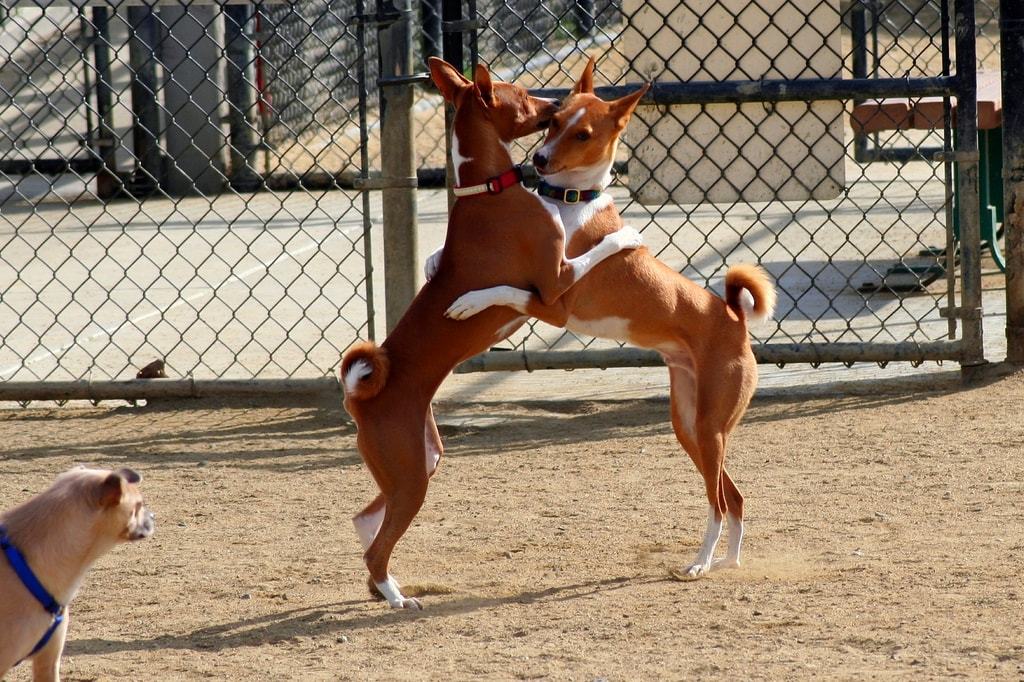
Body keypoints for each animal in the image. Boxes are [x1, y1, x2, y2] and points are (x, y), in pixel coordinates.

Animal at [339, 58, 643, 606]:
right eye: (523, 95)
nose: (552, 105)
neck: (486, 189)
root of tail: (359, 398)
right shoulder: (555, 284)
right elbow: (597, 250)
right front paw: (626, 234)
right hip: (412, 477)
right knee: (376, 544)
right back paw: (394, 596)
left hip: (422, 461)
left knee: (365, 520)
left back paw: (383, 586)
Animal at [448, 59, 774, 577]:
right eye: (555, 121)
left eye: (582, 134)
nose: (539, 160)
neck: (572, 201)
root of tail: (733, 317)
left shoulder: (553, 303)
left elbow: (503, 289)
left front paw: (467, 301)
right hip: (691, 427)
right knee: (735, 496)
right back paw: (729, 561)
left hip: (709, 428)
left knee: (719, 503)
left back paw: (701, 563)